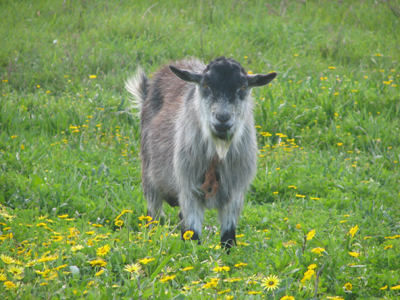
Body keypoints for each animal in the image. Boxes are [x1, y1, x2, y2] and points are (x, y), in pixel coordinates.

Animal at [126, 56, 276, 248]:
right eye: (205, 85)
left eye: (243, 87)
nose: (222, 118)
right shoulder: (188, 189)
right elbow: (193, 235)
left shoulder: (235, 193)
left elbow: (228, 238)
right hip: (149, 179)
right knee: (153, 216)